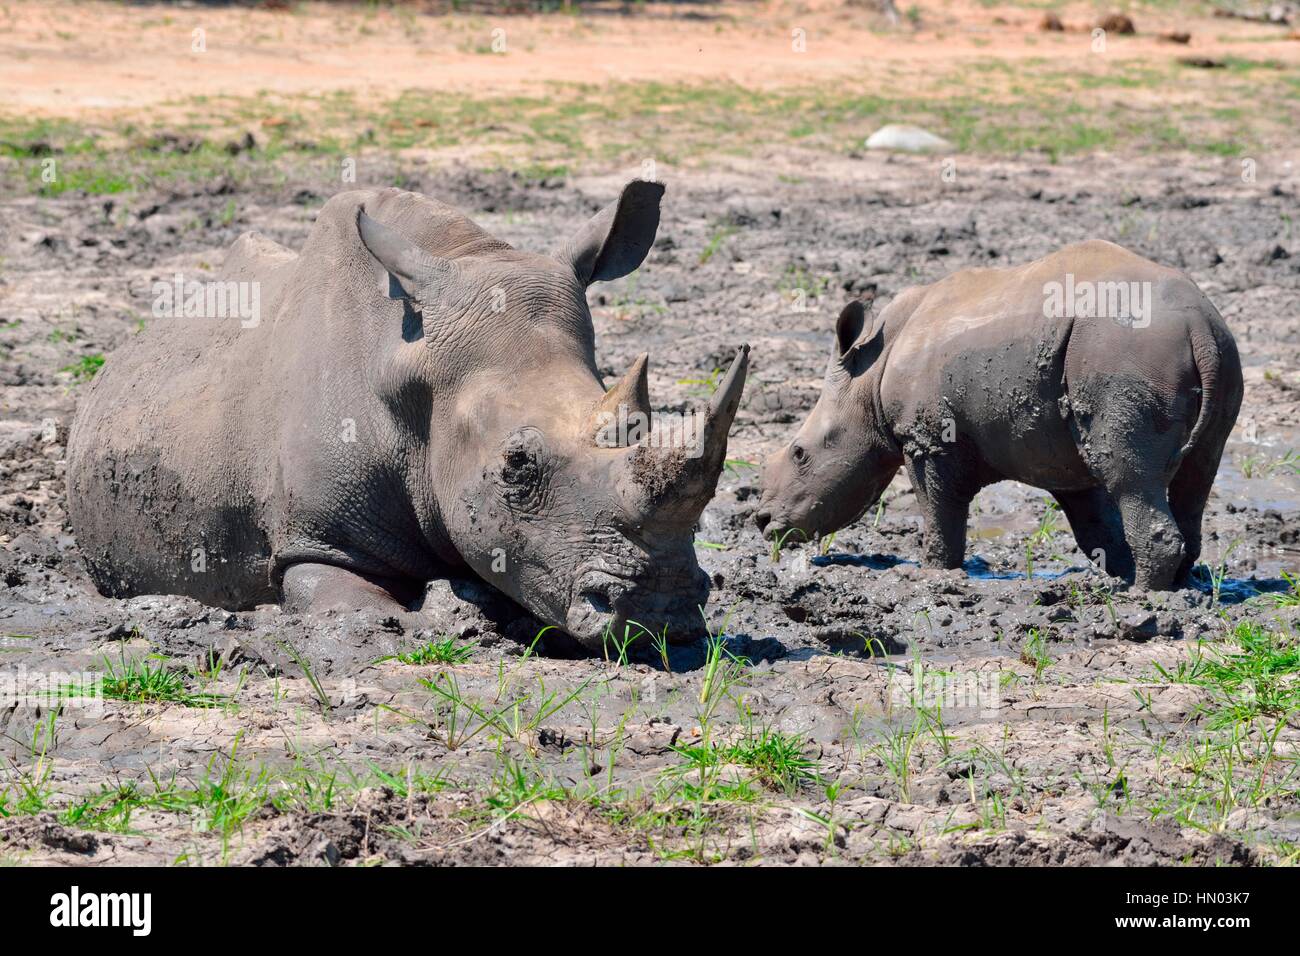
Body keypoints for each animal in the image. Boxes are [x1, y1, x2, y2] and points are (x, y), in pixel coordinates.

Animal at [759, 240, 1242, 582]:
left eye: (800, 454)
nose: (764, 523)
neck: (868, 377)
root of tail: (1198, 325)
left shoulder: (928, 440)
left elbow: (939, 511)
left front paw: (933, 574)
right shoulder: (1056, 452)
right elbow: (1093, 523)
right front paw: (1116, 573)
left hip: (1124, 354)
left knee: (1131, 476)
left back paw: (1145, 600)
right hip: (1215, 351)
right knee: (1194, 474)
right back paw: (1177, 586)